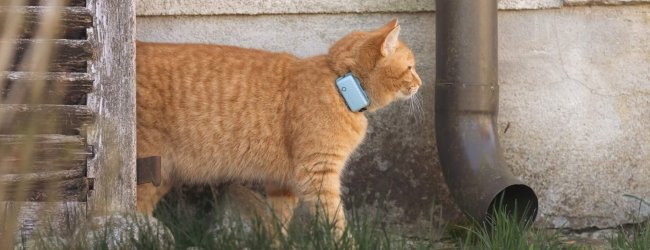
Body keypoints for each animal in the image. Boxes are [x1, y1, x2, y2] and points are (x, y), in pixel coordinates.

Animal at [135, 18, 420, 235]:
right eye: (410, 68)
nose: (420, 82)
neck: (339, 84)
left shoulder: (283, 183)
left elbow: (278, 223)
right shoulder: (318, 173)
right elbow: (335, 221)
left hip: (163, 175)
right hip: (148, 167)